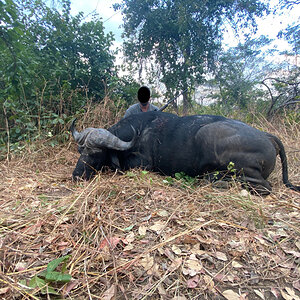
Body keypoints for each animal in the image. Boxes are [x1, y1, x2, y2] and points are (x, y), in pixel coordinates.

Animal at [71, 110, 300, 195]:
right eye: (81, 151)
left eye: (96, 153)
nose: (76, 175)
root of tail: (267, 137)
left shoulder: (142, 164)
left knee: (264, 186)